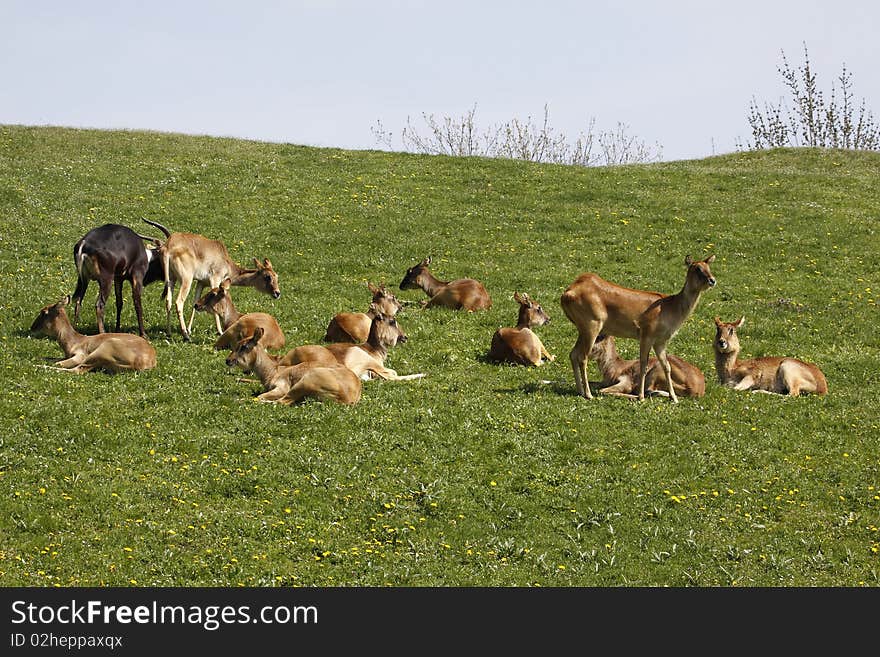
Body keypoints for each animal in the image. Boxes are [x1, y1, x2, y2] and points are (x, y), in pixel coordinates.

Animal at [30, 294, 158, 372]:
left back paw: (37, 366)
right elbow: (50, 358)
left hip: (99, 352)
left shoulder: (80, 356)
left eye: (44, 312)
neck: (76, 340)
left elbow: (59, 363)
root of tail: (144, 362)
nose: (32, 328)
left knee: (76, 370)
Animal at [141, 220, 280, 344]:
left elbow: (195, 302)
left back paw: (170, 333)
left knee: (168, 301)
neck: (226, 261)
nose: (277, 293)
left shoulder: (201, 283)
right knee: (178, 302)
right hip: (186, 280)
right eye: (268, 276)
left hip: (171, 280)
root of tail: (167, 247)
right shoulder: (215, 279)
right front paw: (220, 331)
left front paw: (190, 329)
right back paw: (185, 336)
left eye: (276, 276)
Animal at [230, 328, 364, 404]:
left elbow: (261, 396)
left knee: (282, 402)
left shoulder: (282, 387)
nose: (228, 360)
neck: (273, 371)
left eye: (243, 346)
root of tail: (348, 397)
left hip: (305, 382)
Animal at [560, 255, 720, 400]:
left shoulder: (660, 341)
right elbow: (643, 364)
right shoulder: (646, 334)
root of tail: (567, 293)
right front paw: (641, 396)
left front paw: (674, 398)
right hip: (592, 325)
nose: (712, 280)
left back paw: (580, 390)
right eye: (697, 268)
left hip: (582, 329)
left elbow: (666, 366)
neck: (671, 308)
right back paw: (588, 394)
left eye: (709, 267)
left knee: (573, 354)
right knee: (582, 357)